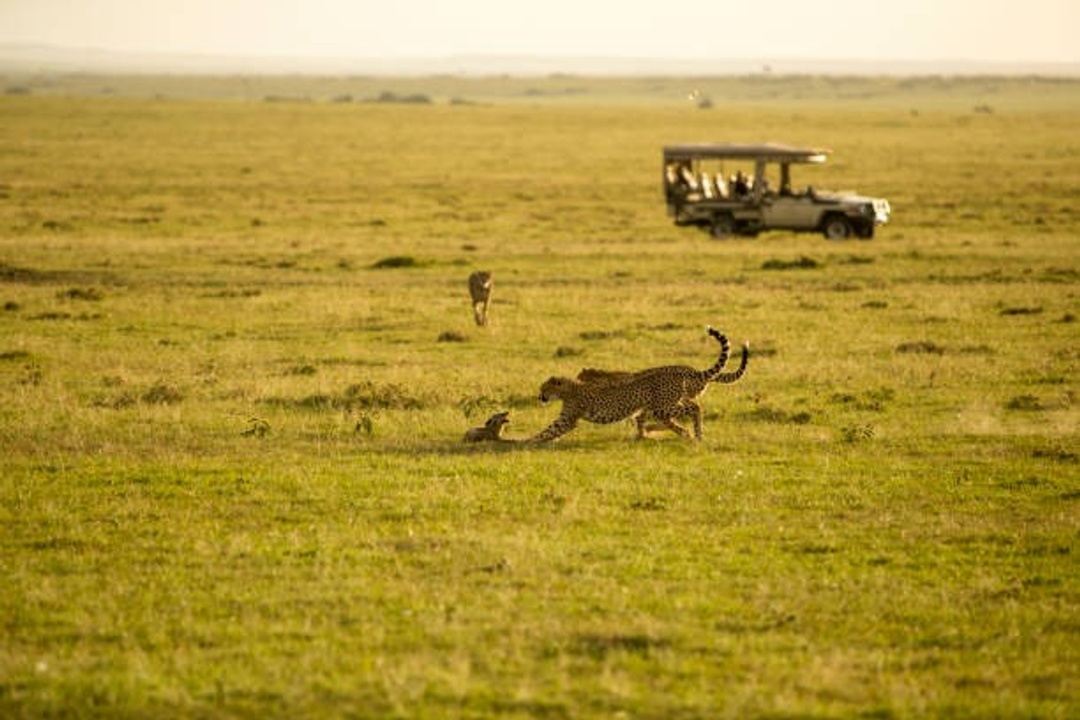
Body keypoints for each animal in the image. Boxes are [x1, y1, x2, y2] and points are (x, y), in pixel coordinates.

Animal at [527, 328, 747, 444]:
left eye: (544, 389)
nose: (540, 397)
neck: (568, 389)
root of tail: (688, 370)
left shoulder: (568, 419)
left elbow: (549, 431)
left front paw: (529, 441)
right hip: (668, 404)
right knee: (689, 409)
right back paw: (692, 433)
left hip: (663, 406)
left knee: (693, 408)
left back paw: (692, 433)